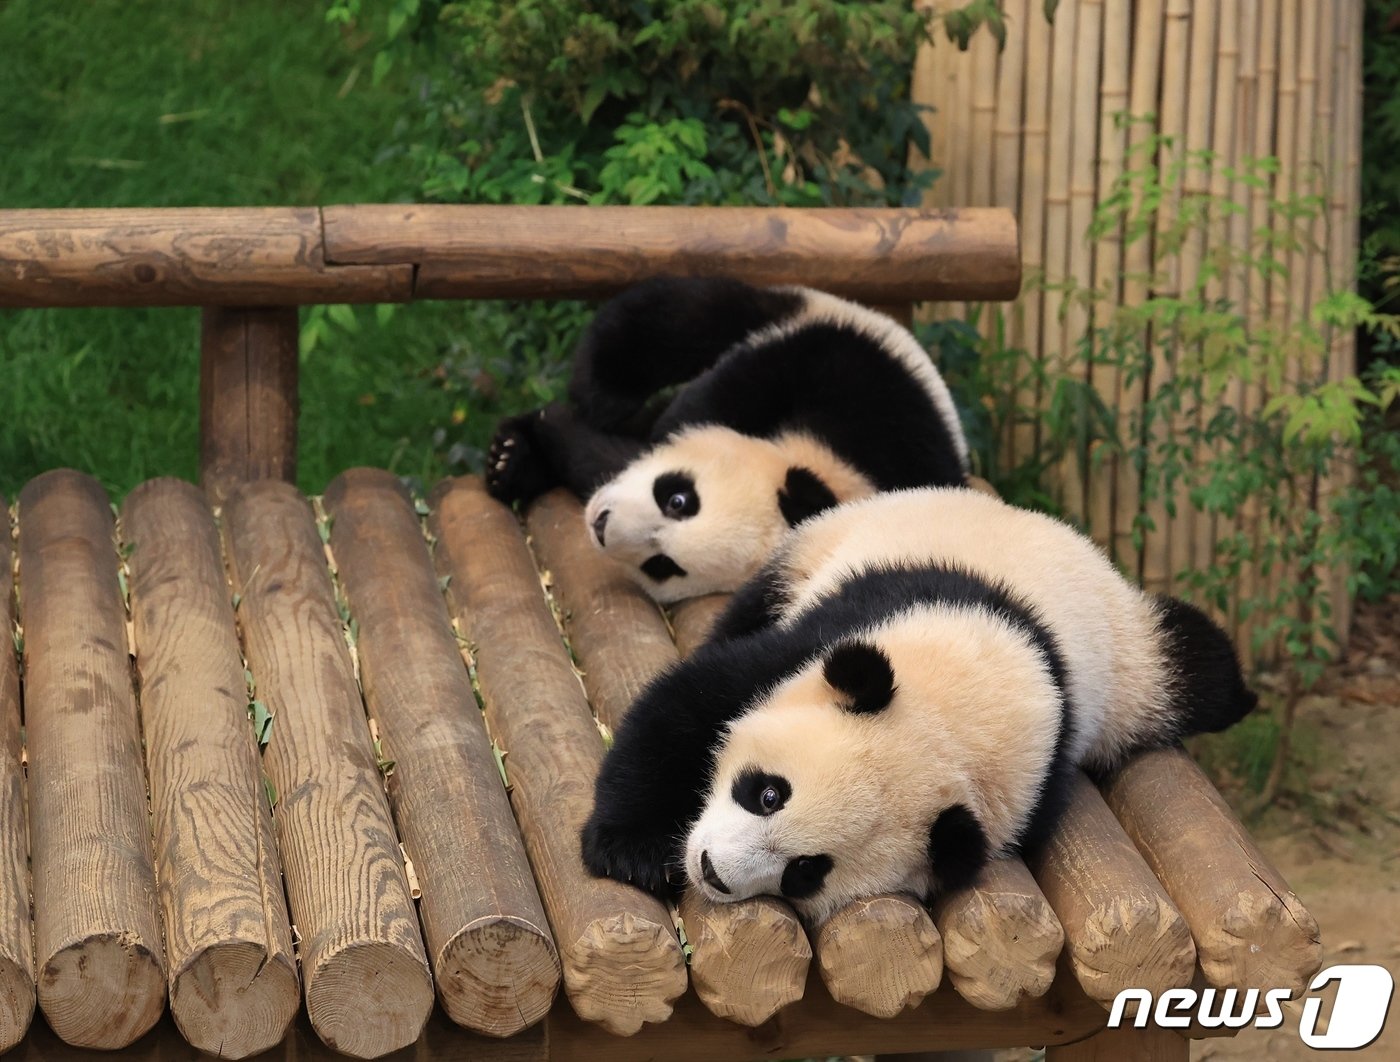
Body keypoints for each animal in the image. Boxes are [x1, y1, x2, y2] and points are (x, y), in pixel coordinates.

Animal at [481, 274, 963, 601]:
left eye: (662, 565)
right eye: (679, 500)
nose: (600, 525)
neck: (837, 469)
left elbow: (609, 454)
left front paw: (550, 435)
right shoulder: (848, 379)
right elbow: (684, 412)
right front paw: (554, 426)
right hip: (805, 316)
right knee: (673, 321)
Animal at [579, 486, 1260, 929]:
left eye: (807, 871)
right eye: (769, 793)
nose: (712, 870)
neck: (968, 699)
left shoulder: (1036, 783)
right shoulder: (841, 631)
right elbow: (688, 705)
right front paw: (631, 852)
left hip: (1136, 670)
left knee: (1196, 668)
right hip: (825, 543)